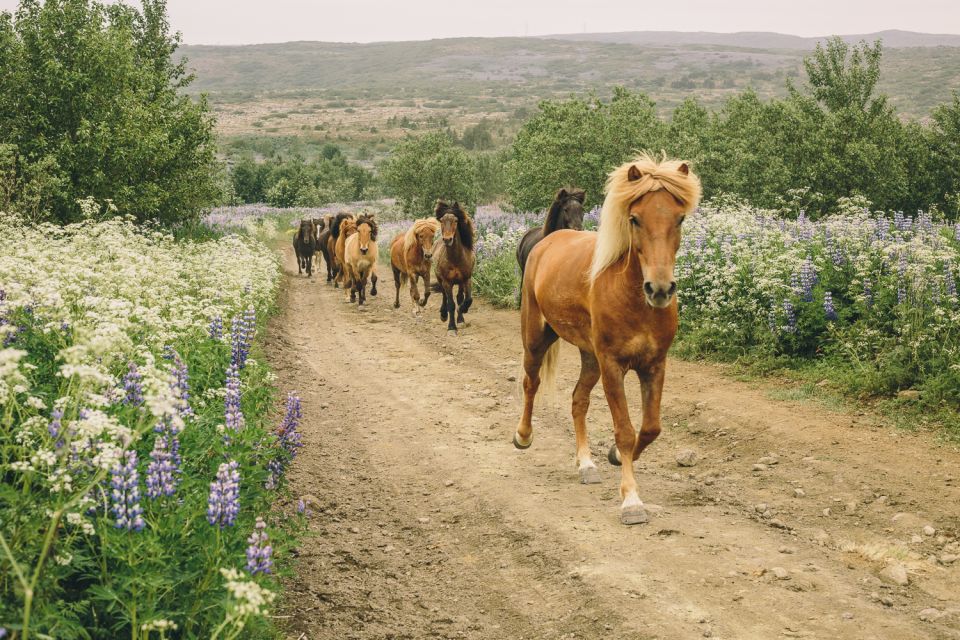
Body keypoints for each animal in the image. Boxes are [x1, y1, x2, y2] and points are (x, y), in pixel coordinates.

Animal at [434, 201, 474, 336]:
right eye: (441, 220)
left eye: (456, 220)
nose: (447, 239)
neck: (455, 259)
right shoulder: (447, 282)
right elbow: (451, 304)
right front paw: (451, 328)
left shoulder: (466, 279)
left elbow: (468, 299)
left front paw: (462, 312)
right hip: (440, 279)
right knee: (444, 296)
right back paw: (443, 314)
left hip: (460, 282)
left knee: (460, 297)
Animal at [512, 155, 700, 524]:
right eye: (635, 218)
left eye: (680, 218)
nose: (659, 289)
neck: (634, 300)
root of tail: (548, 241)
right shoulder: (613, 365)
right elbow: (625, 431)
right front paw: (631, 501)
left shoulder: (654, 365)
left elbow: (651, 428)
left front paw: (613, 457)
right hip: (536, 337)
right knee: (531, 382)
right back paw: (523, 436)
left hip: (590, 358)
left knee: (578, 400)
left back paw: (586, 465)